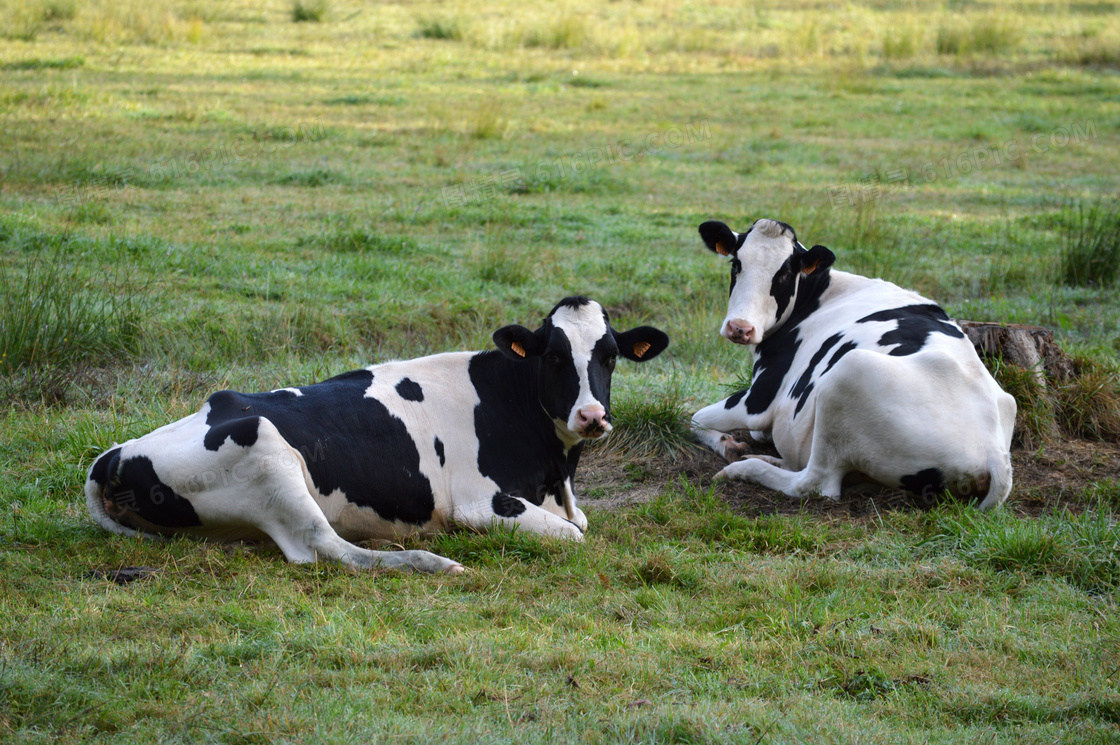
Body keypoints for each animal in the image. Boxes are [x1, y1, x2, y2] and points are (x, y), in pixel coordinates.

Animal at [87, 295, 667, 569]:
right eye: (552, 356)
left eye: (610, 356)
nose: (591, 416)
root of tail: (112, 454)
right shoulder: (481, 502)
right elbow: (574, 535)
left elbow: (580, 523)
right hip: (265, 449)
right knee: (326, 548)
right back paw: (432, 561)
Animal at [689, 215, 1016, 506]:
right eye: (736, 264)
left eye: (783, 275)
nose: (740, 328)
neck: (820, 293)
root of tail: (994, 453)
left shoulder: (759, 399)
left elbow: (694, 418)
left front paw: (728, 446)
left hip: (848, 372)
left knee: (815, 483)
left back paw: (746, 468)